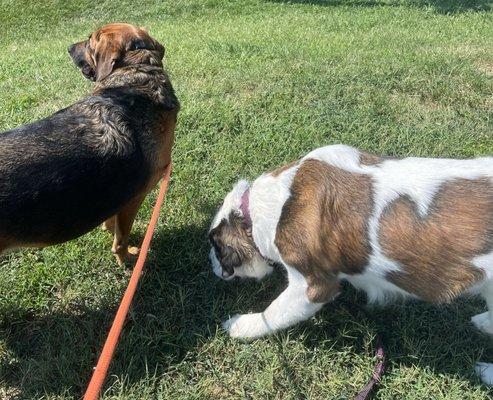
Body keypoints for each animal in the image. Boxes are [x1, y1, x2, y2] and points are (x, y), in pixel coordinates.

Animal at [0, 23, 180, 264]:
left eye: (89, 42)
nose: (68, 47)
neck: (137, 74)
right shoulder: (134, 198)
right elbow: (121, 238)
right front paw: (127, 259)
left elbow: (111, 222)